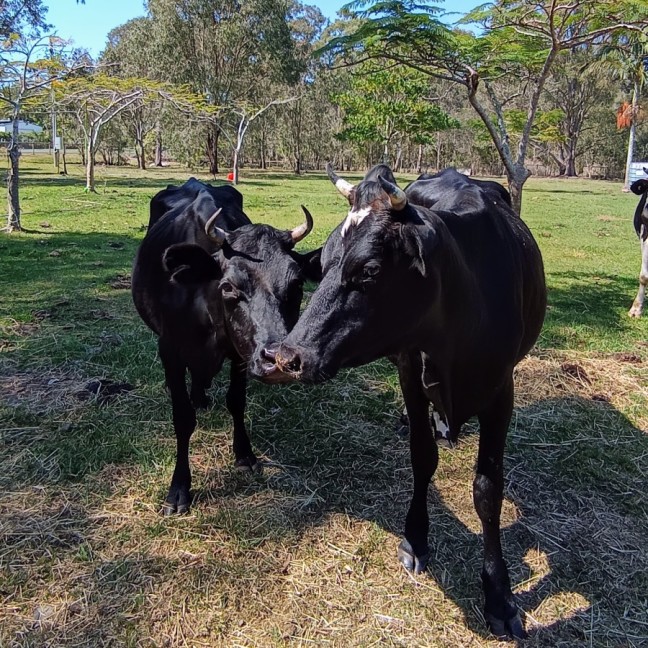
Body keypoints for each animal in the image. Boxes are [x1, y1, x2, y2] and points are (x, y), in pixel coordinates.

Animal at [132, 178, 320, 515]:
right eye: (229, 287)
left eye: (297, 283)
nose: (278, 360)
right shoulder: (169, 349)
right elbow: (182, 417)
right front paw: (179, 488)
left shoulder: (240, 354)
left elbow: (236, 401)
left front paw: (244, 454)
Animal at [263, 167, 547, 639]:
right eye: (324, 264)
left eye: (370, 270)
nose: (287, 356)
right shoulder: (410, 371)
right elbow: (421, 458)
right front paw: (416, 537)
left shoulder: (501, 391)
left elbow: (488, 491)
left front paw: (498, 595)